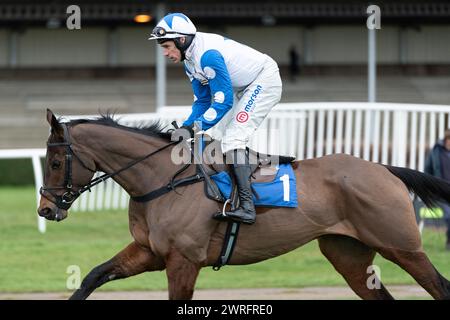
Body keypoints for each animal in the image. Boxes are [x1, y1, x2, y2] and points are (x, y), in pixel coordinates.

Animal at [37, 110, 450, 300]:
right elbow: (93, 275)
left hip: (401, 246)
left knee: (439, 285)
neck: (161, 181)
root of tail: (383, 168)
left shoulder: (184, 261)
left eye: (55, 162)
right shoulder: (149, 252)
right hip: (348, 254)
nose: (45, 209)